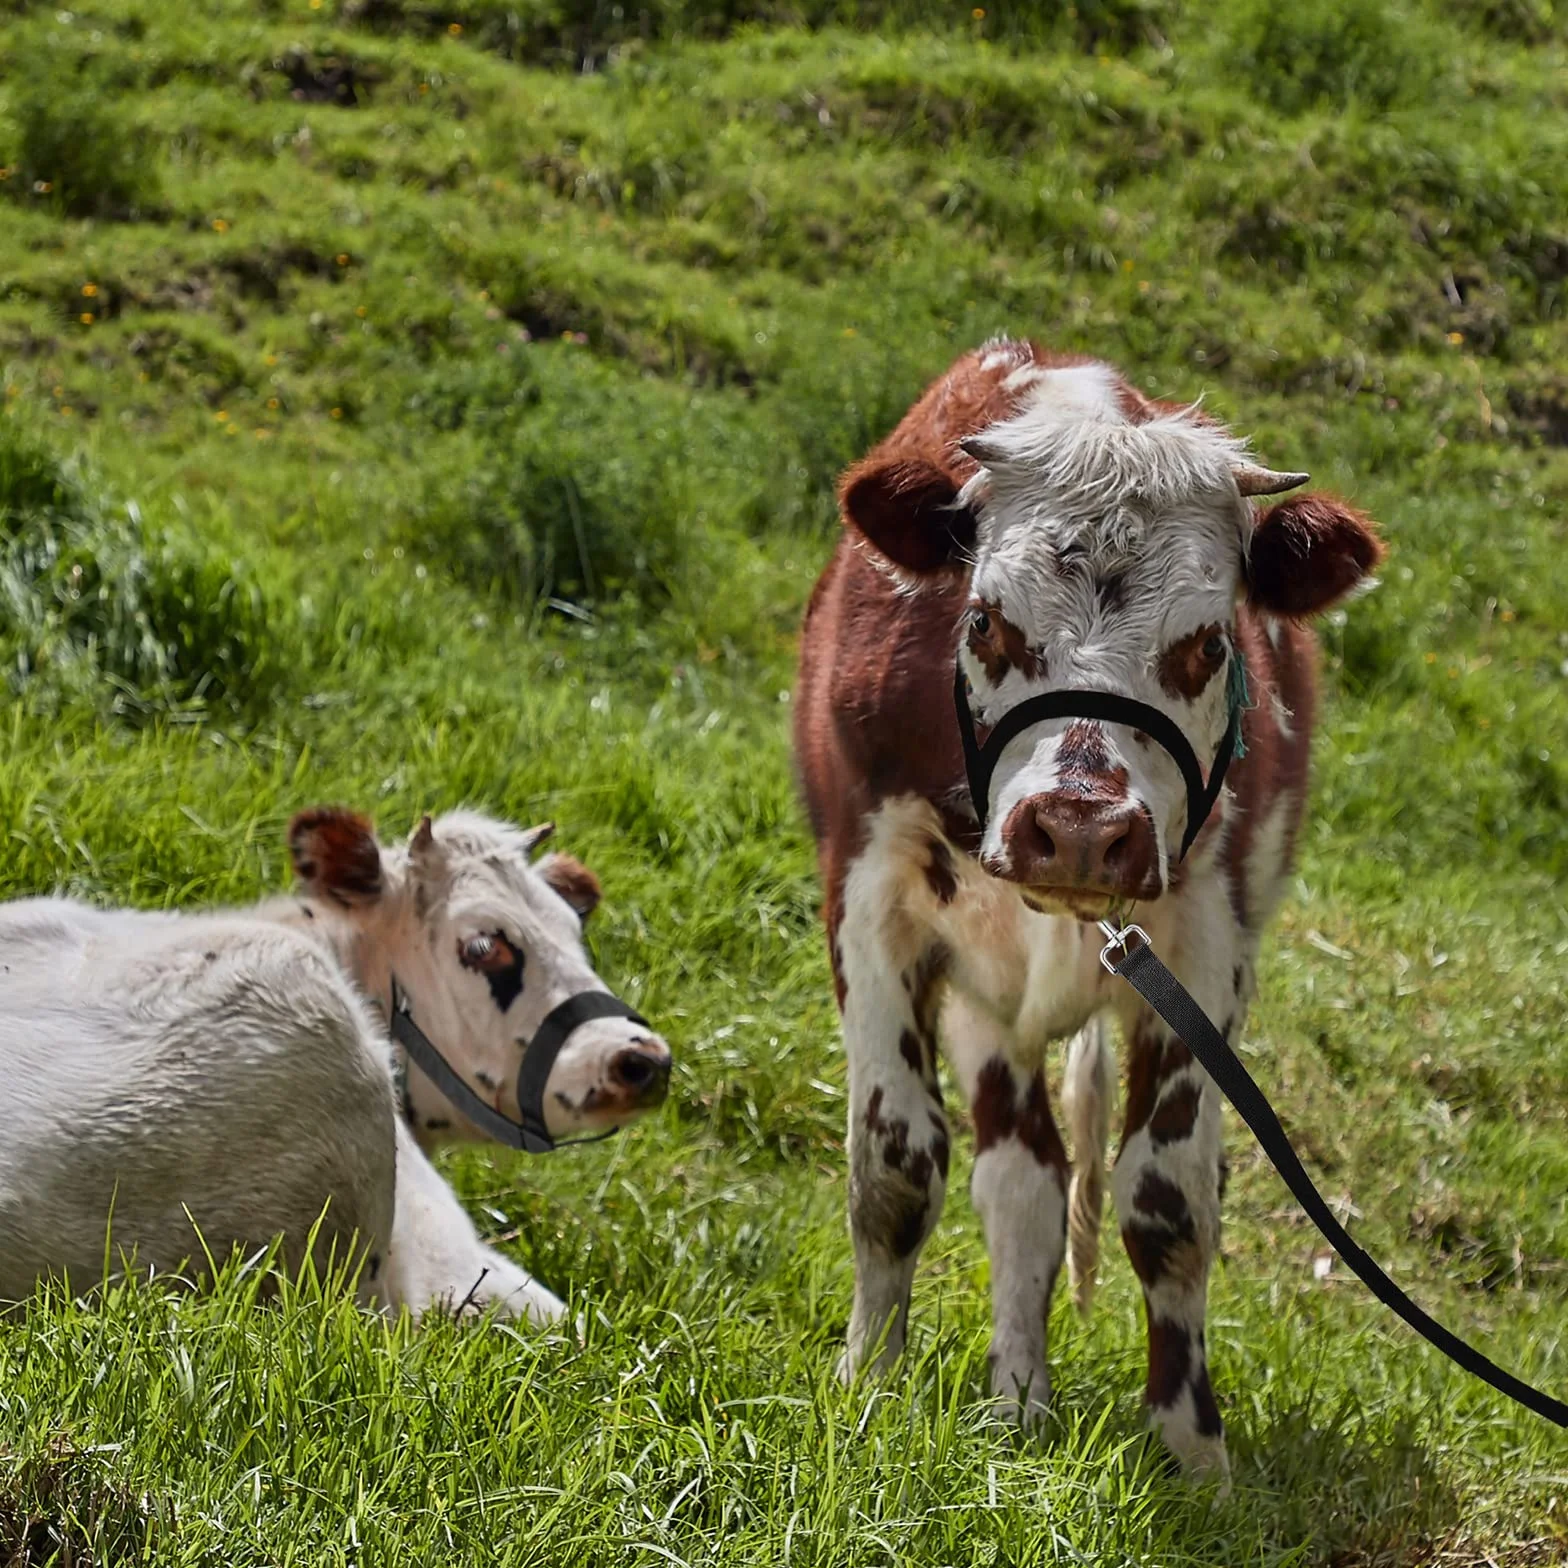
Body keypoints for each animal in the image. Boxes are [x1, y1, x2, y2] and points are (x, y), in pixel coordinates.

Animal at [793, 338, 1383, 1484]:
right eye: (985, 620)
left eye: (1208, 642)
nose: (1075, 826)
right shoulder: (871, 901)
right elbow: (894, 1165)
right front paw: (866, 1384)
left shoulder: (1206, 947)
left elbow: (1167, 1197)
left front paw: (1190, 1447)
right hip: (988, 1001)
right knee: (1019, 1186)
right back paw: (1018, 1399)